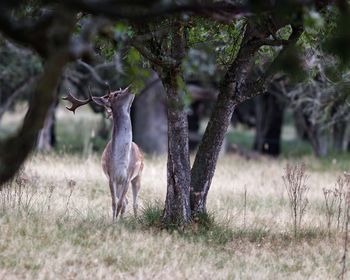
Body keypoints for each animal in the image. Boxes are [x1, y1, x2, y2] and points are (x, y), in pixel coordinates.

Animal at [63, 86, 144, 222]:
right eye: (116, 94)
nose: (132, 86)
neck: (121, 161)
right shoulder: (111, 177)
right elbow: (114, 203)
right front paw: (114, 222)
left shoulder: (128, 177)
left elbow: (120, 203)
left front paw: (116, 222)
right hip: (121, 183)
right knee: (126, 201)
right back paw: (122, 219)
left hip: (138, 175)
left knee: (134, 202)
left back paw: (135, 219)